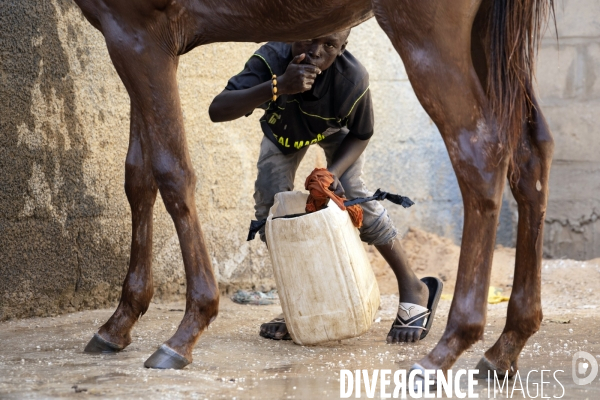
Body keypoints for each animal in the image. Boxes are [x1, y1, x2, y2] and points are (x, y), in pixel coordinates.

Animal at [72, 0, 556, 376]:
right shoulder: (139, 42)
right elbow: (138, 175)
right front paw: (119, 322)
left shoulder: (139, 32)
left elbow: (171, 173)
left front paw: (187, 328)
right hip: (489, 40)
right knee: (531, 152)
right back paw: (505, 346)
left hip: (430, 35)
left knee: (480, 152)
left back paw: (446, 348)